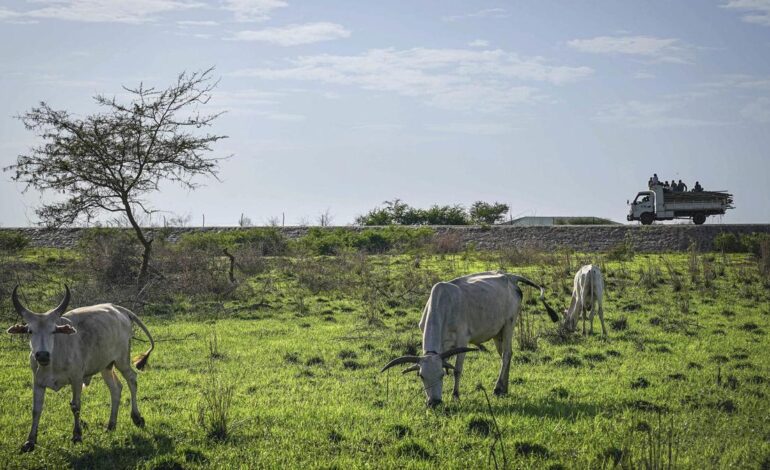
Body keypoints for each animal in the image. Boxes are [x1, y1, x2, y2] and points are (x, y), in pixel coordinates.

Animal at [5, 284, 154, 454]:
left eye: (53, 330)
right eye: (30, 331)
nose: (42, 355)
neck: (54, 359)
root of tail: (118, 309)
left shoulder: (76, 379)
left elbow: (75, 406)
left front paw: (77, 436)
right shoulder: (38, 382)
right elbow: (36, 410)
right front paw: (30, 441)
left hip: (121, 360)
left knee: (132, 380)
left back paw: (137, 417)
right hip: (106, 366)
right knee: (116, 388)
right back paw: (111, 425)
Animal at [380, 272, 556, 408]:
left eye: (441, 376)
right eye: (421, 376)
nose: (434, 403)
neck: (443, 305)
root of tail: (510, 277)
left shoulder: (462, 341)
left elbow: (457, 370)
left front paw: (455, 395)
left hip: (509, 324)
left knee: (506, 355)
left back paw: (497, 388)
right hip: (497, 333)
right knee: (506, 355)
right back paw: (504, 388)